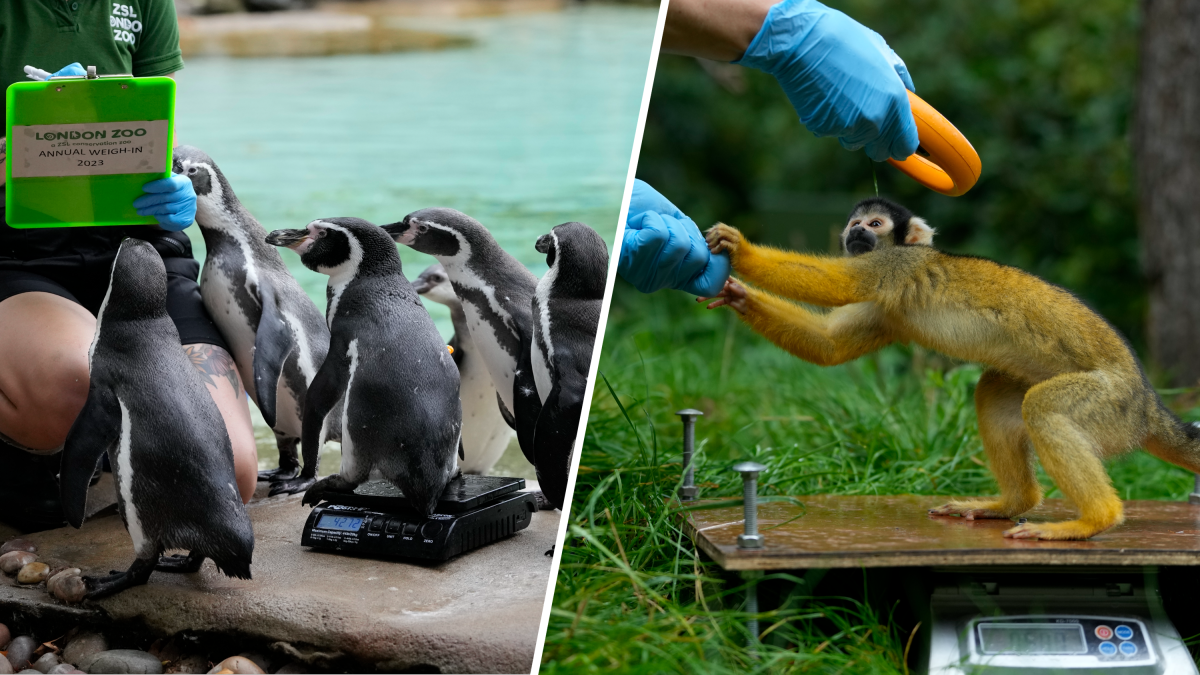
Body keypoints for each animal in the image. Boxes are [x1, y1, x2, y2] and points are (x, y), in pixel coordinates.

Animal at [700, 196, 1200, 538]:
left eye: (875, 224)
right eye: (854, 223)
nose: (856, 233)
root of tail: (1149, 403)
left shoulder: (894, 266)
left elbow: (837, 283)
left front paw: (741, 250)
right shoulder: (885, 309)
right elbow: (830, 347)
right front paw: (738, 295)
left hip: (1112, 402)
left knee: (1045, 408)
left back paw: (1093, 521)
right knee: (995, 391)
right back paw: (1013, 502)